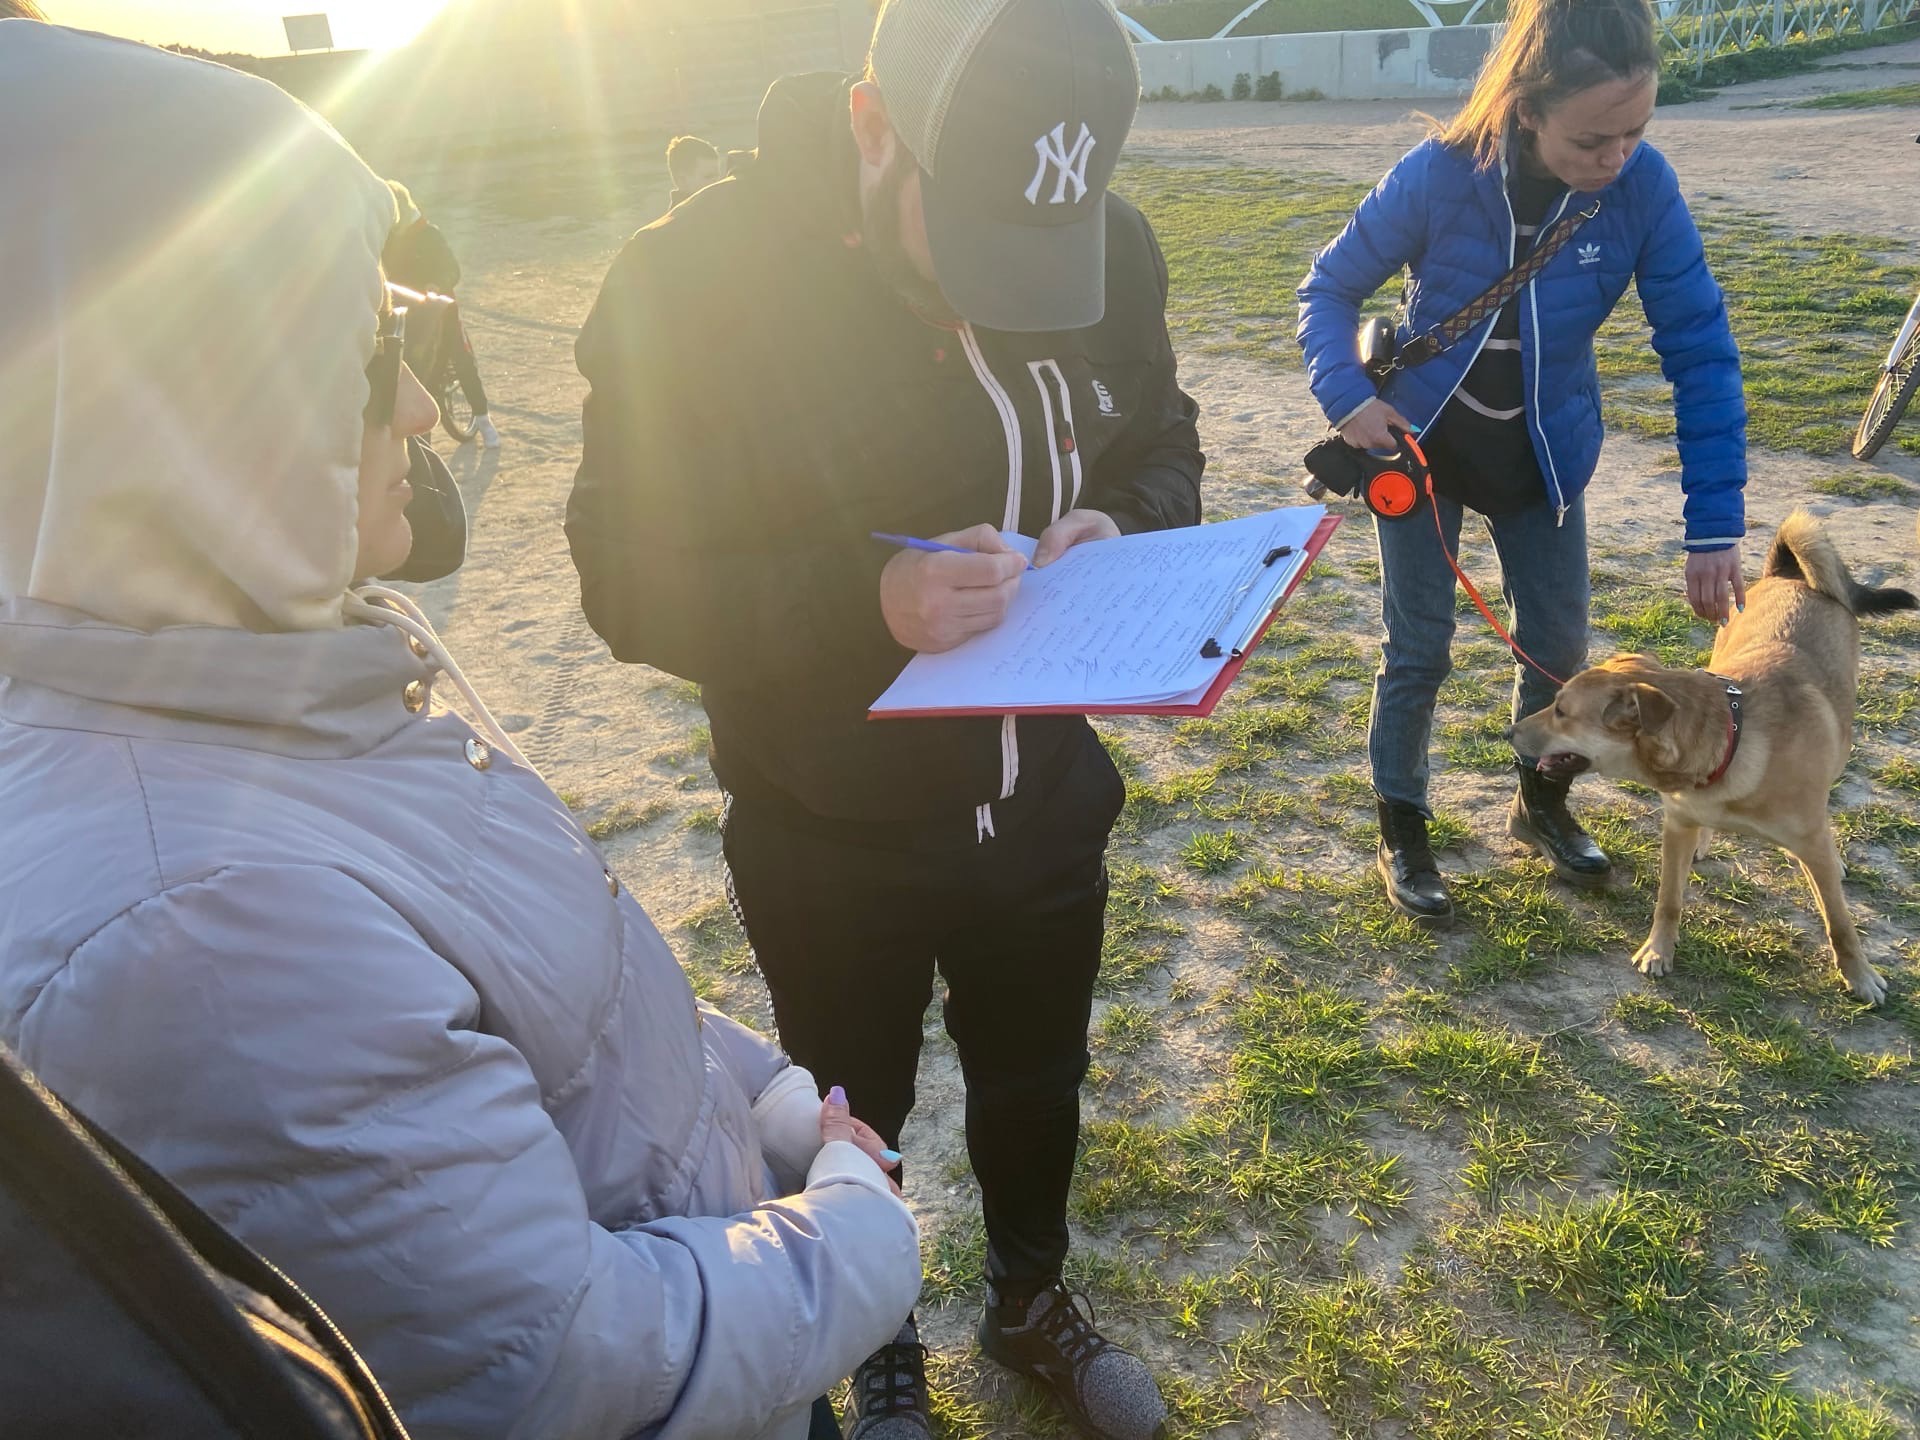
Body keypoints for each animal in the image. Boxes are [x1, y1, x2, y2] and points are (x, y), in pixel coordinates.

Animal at [1512, 514, 1904, 1006]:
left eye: (1562, 711)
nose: (1508, 732)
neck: (1730, 750)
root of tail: (1790, 575)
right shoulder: (1676, 825)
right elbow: (1668, 900)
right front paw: (1658, 950)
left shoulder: (1811, 842)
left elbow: (1840, 923)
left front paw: (1860, 976)